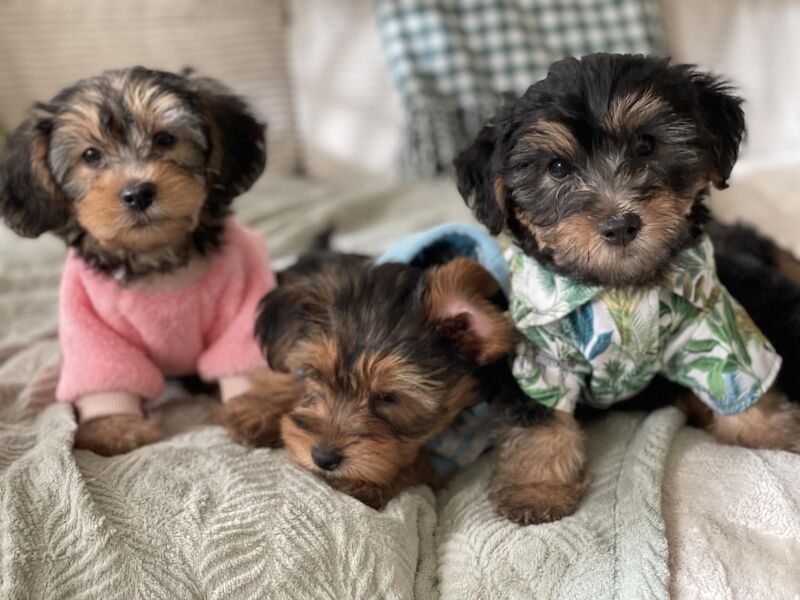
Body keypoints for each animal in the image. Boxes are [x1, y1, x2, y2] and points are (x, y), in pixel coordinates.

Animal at [0, 68, 280, 454]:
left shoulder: (241, 300)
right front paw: (113, 426)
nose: (138, 193)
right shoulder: (90, 323)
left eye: (165, 139)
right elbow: (106, 371)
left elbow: (239, 359)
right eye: (90, 155)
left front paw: (255, 408)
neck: (157, 261)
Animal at [248, 251, 524, 508]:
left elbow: (420, 464)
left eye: (388, 398)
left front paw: (365, 484)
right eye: (317, 376)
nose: (323, 458)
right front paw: (256, 412)